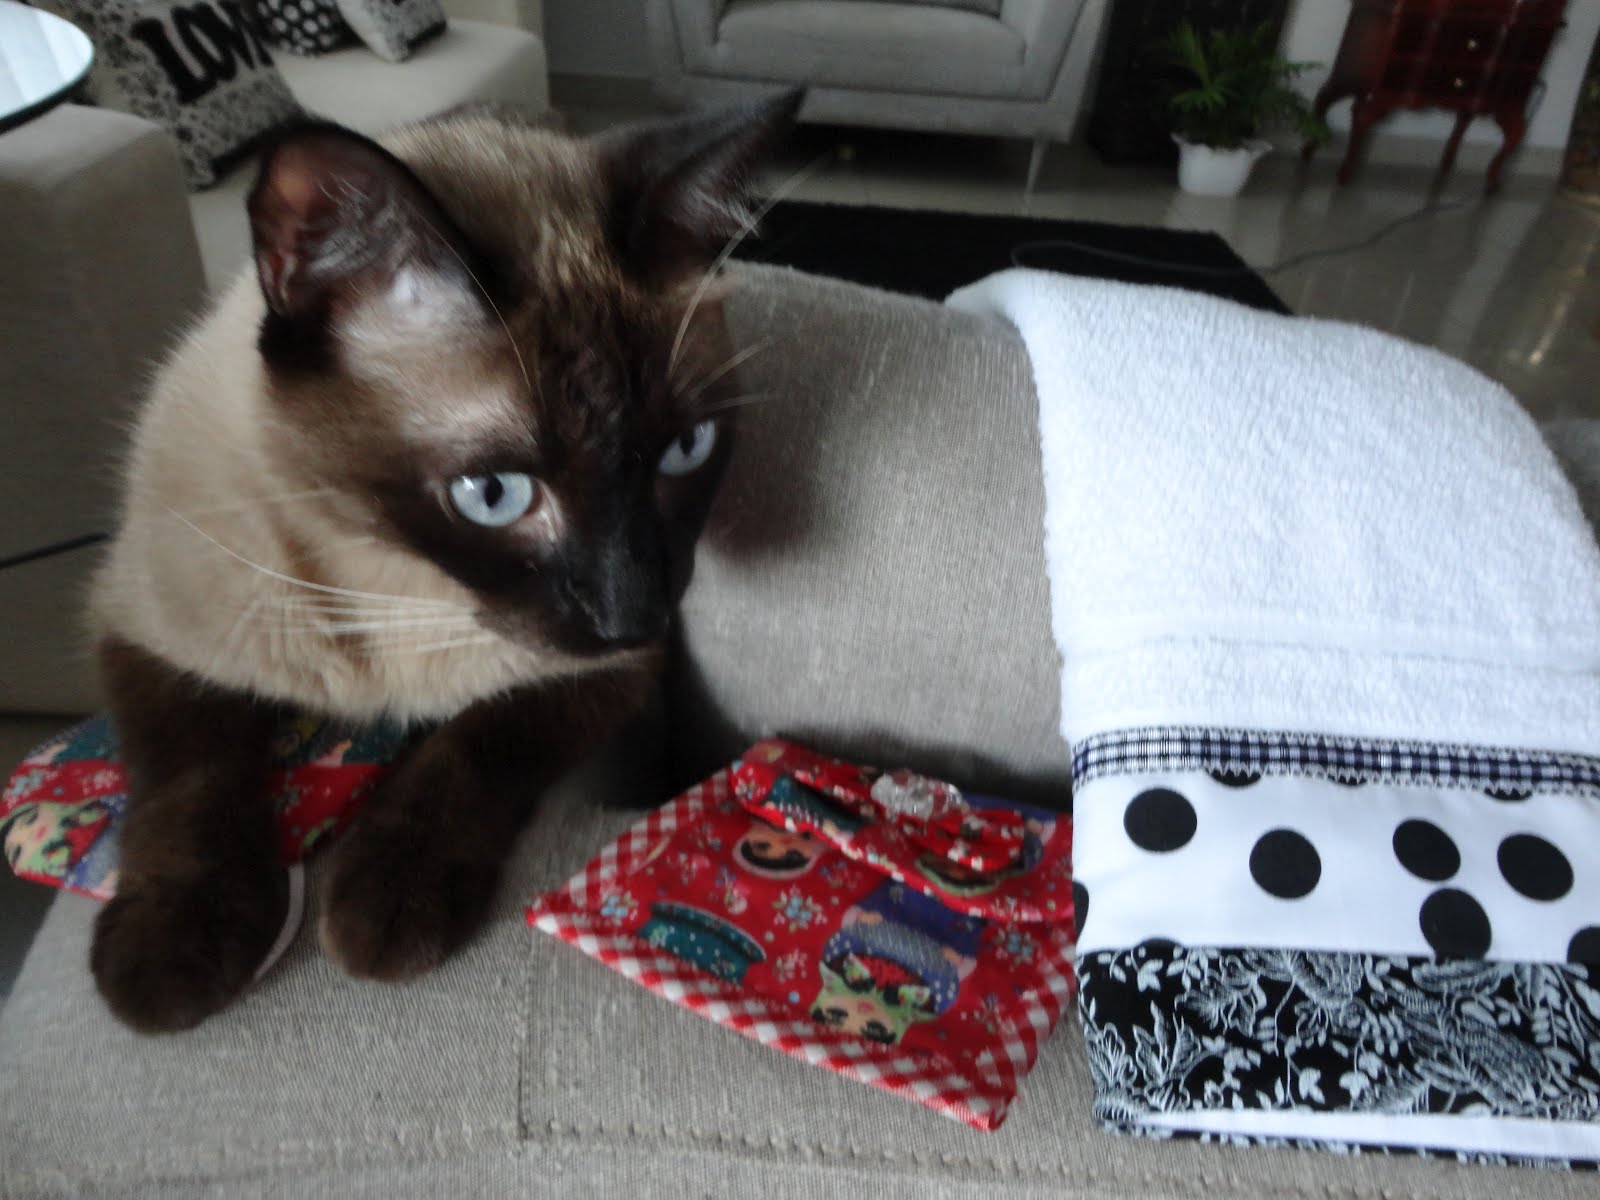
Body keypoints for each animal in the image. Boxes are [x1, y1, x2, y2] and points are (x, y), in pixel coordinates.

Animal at [86, 90, 802, 1033]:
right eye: (493, 495)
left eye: (687, 449)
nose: (635, 611)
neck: (380, 568)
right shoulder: (149, 637)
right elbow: (189, 778)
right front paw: (171, 950)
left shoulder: (599, 671)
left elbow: (474, 747)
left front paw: (386, 906)